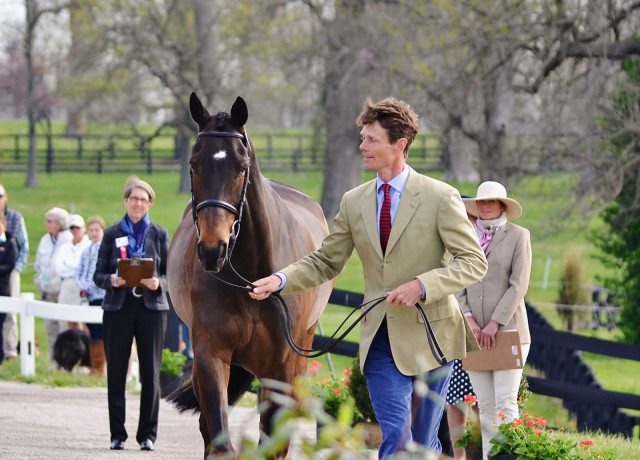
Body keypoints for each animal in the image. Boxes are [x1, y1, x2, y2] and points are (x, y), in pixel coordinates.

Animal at [168, 92, 332, 456]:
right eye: (193, 165)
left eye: (241, 167)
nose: (212, 249)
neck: (249, 278)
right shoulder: (211, 356)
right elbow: (219, 439)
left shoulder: (280, 368)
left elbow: (272, 443)